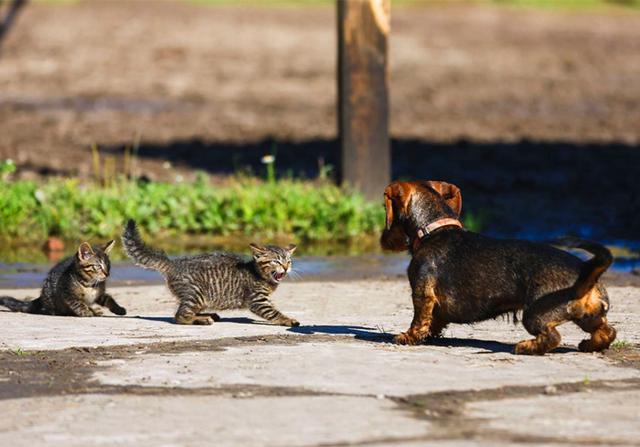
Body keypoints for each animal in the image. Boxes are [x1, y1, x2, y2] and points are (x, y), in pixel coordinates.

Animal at [122, 220, 300, 328]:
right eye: (276, 261)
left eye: (288, 261)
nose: (286, 267)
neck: (258, 274)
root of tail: (173, 263)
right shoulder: (258, 300)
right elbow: (273, 313)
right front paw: (288, 320)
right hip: (196, 294)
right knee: (180, 316)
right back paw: (202, 319)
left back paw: (208, 314)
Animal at [380, 180, 616, 356]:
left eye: (385, 208)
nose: (382, 240)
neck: (434, 230)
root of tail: (585, 271)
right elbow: (435, 320)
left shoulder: (422, 293)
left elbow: (419, 320)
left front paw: (408, 337)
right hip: (589, 315)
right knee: (608, 332)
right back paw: (588, 345)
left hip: (534, 315)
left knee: (553, 337)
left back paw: (524, 347)